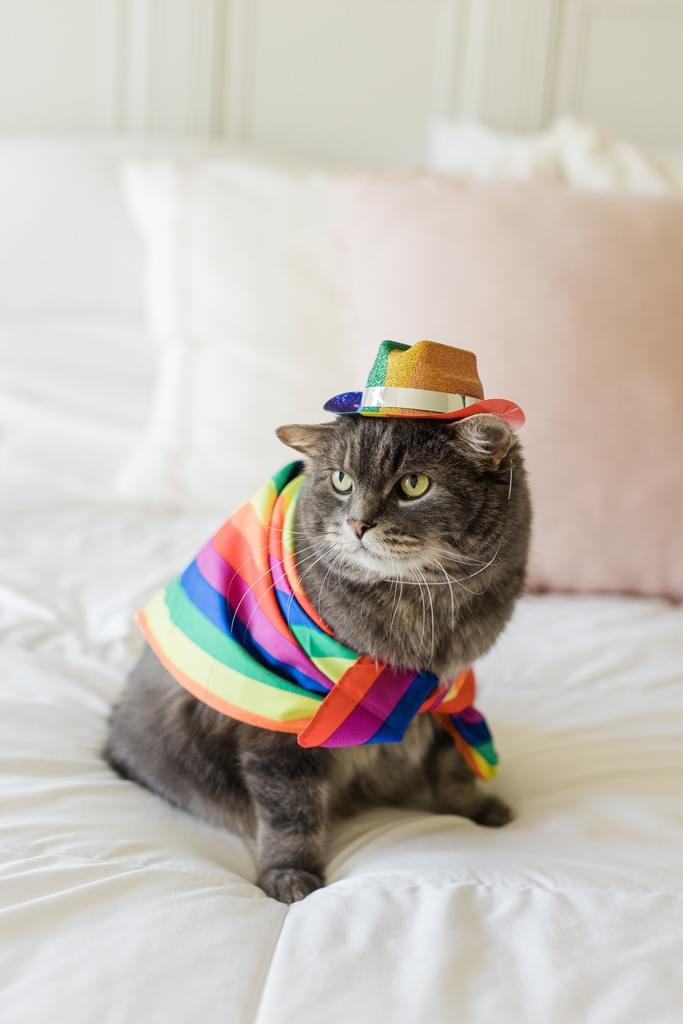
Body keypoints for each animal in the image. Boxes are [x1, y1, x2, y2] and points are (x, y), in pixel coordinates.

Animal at [104, 411, 532, 901]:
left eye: (414, 484)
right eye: (341, 480)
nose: (358, 524)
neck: (422, 609)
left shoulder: (446, 693)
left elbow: (453, 762)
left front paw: (475, 807)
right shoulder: (279, 732)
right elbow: (292, 813)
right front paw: (289, 876)